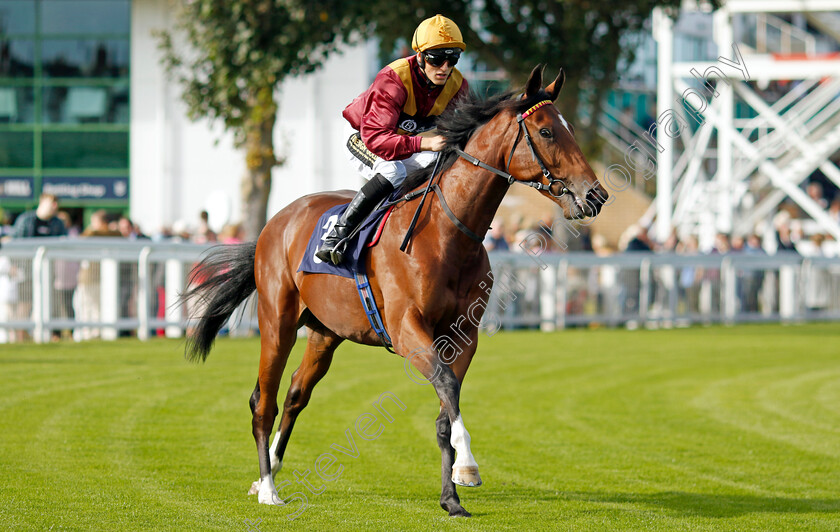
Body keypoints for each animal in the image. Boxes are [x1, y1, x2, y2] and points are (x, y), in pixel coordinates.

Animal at [184, 64, 608, 516]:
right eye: (546, 131)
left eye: (570, 129)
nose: (596, 194)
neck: (447, 232)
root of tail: (276, 220)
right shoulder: (407, 330)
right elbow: (446, 386)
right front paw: (468, 468)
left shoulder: (462, 335)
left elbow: (446, 408)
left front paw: (451, 497)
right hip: (277, 321)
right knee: (264, 400)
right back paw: (268, 488)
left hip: (325, 331)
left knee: (297, 392)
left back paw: (271, 471)